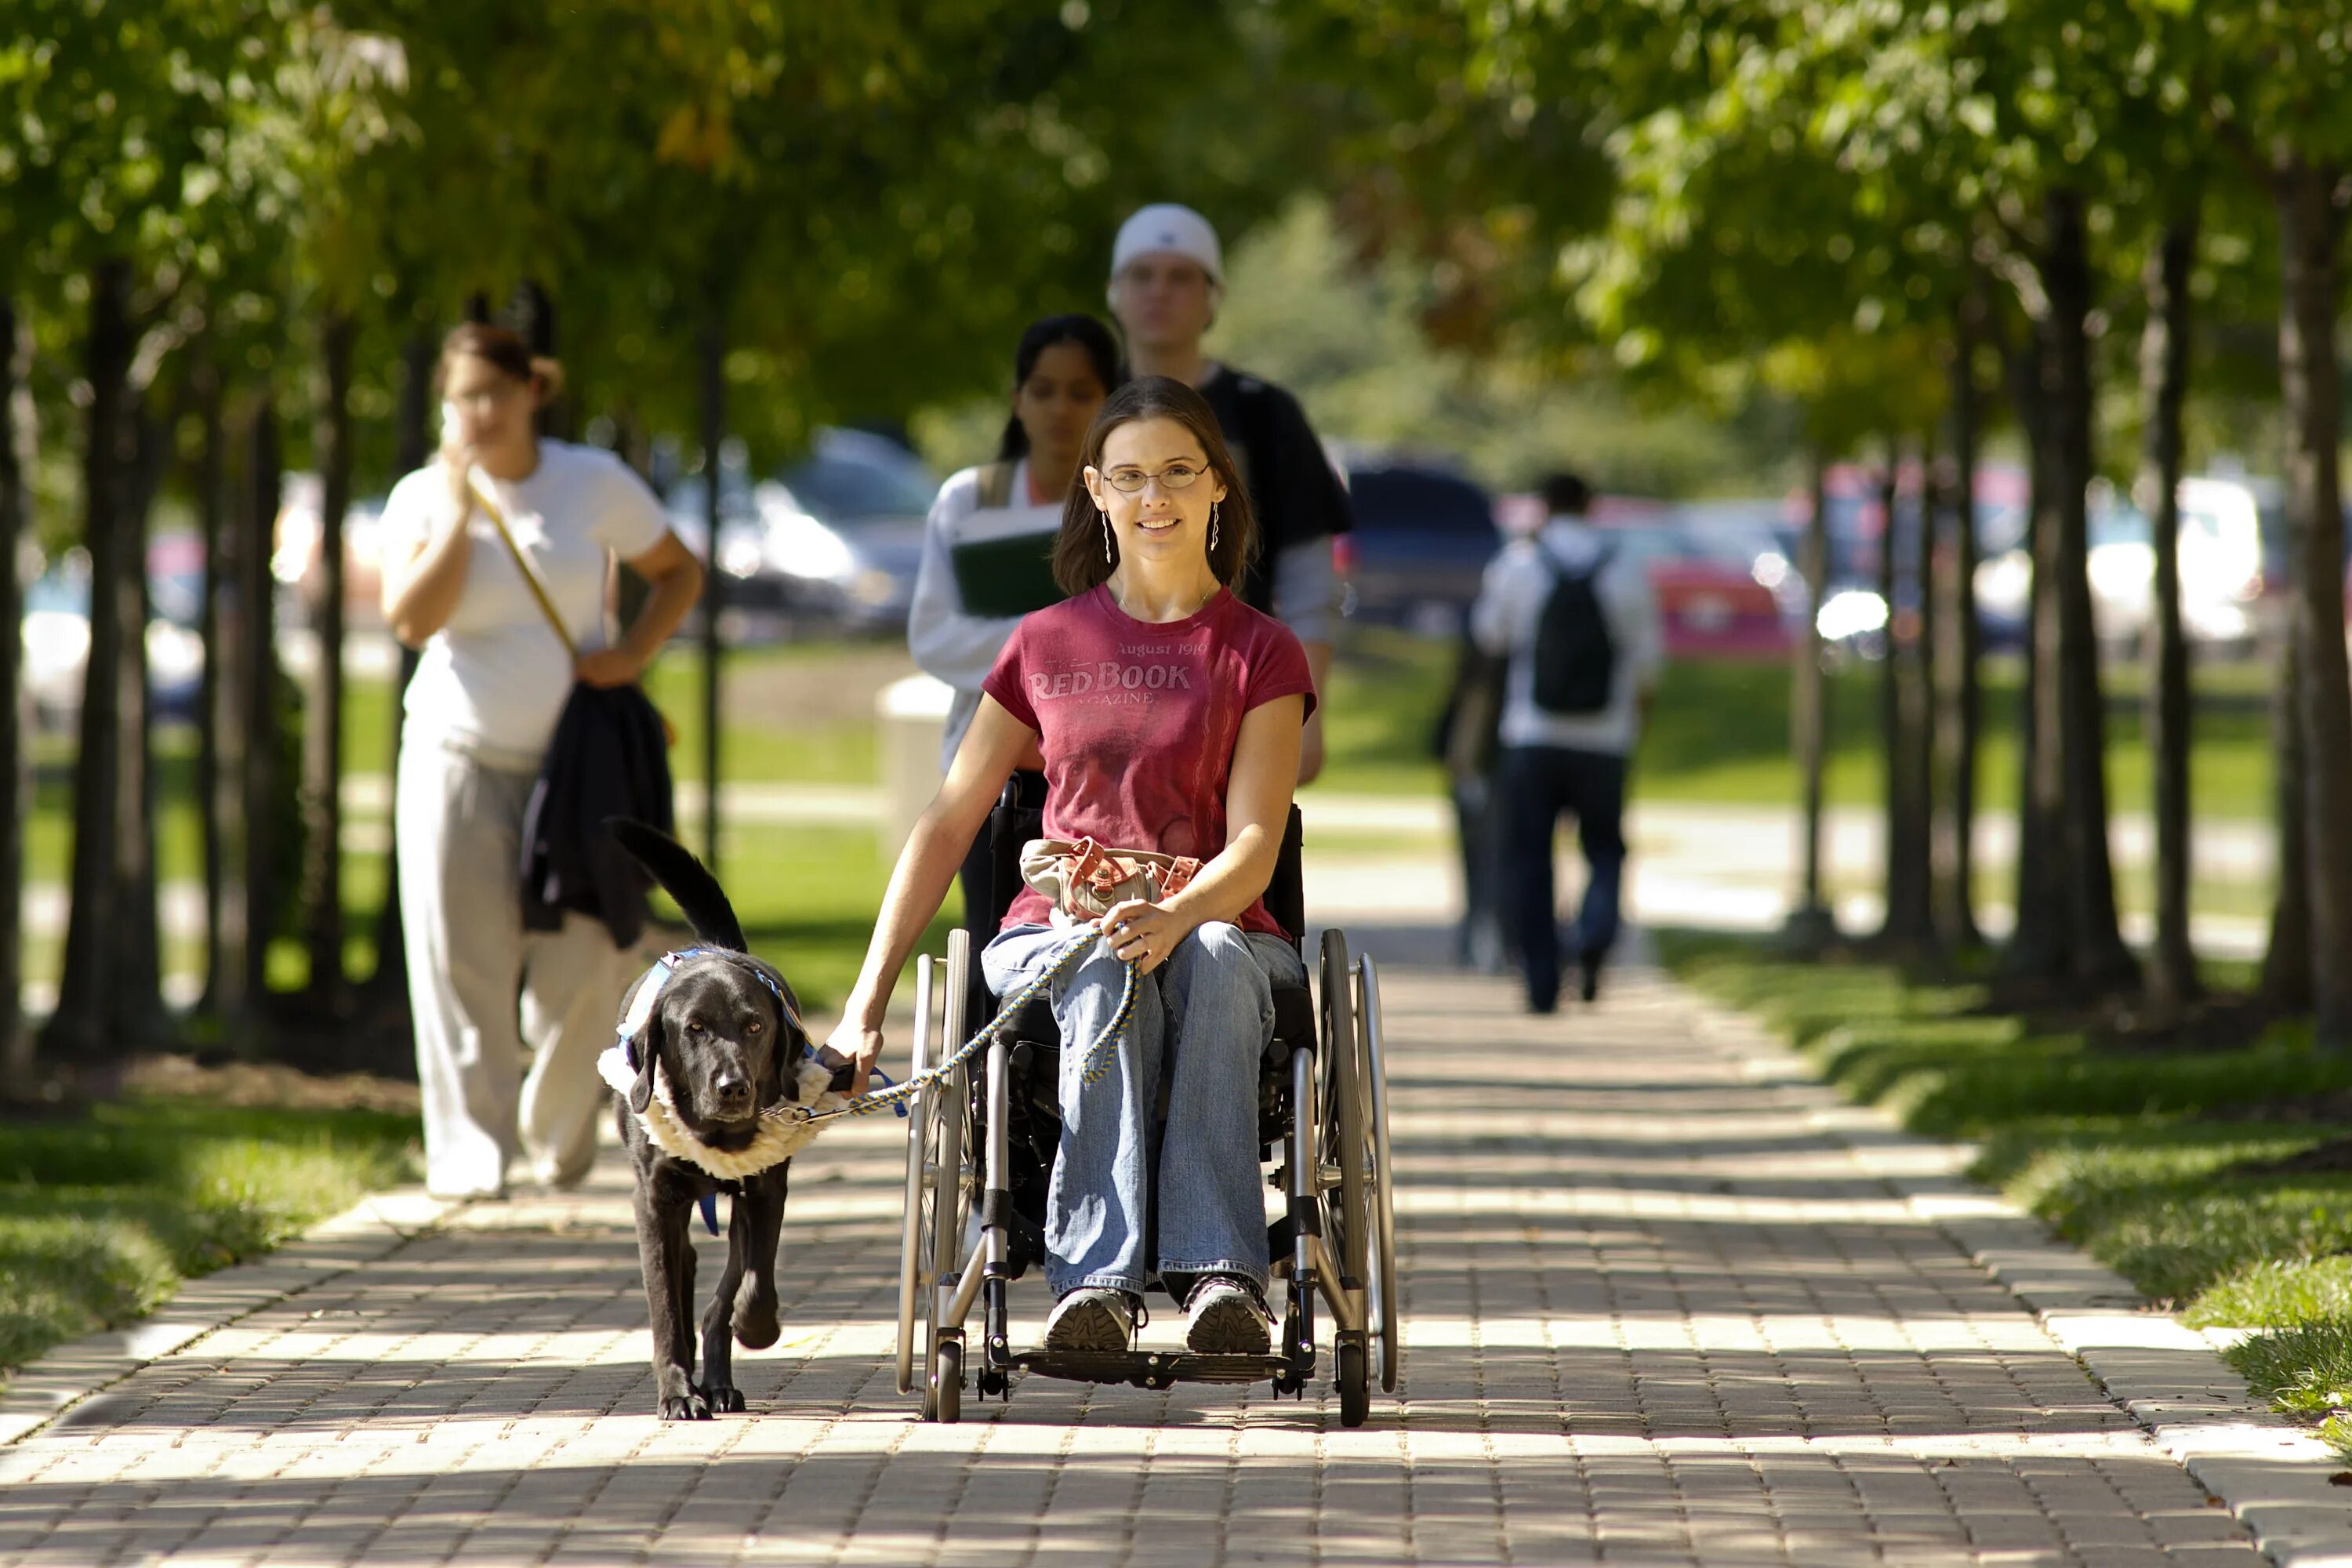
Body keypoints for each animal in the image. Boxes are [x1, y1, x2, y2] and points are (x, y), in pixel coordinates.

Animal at [607, 822, 856, 1420]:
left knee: (722, 1288)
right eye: (694, 1028)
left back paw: (719, 1382)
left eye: (755, 1026)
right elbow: (665, 1308)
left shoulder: (764, 1189)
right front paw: (677, 1391)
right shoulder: (652, 1202)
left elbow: (752, 1284)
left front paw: (754, 1327)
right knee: (686, 1272)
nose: (733, 1088)